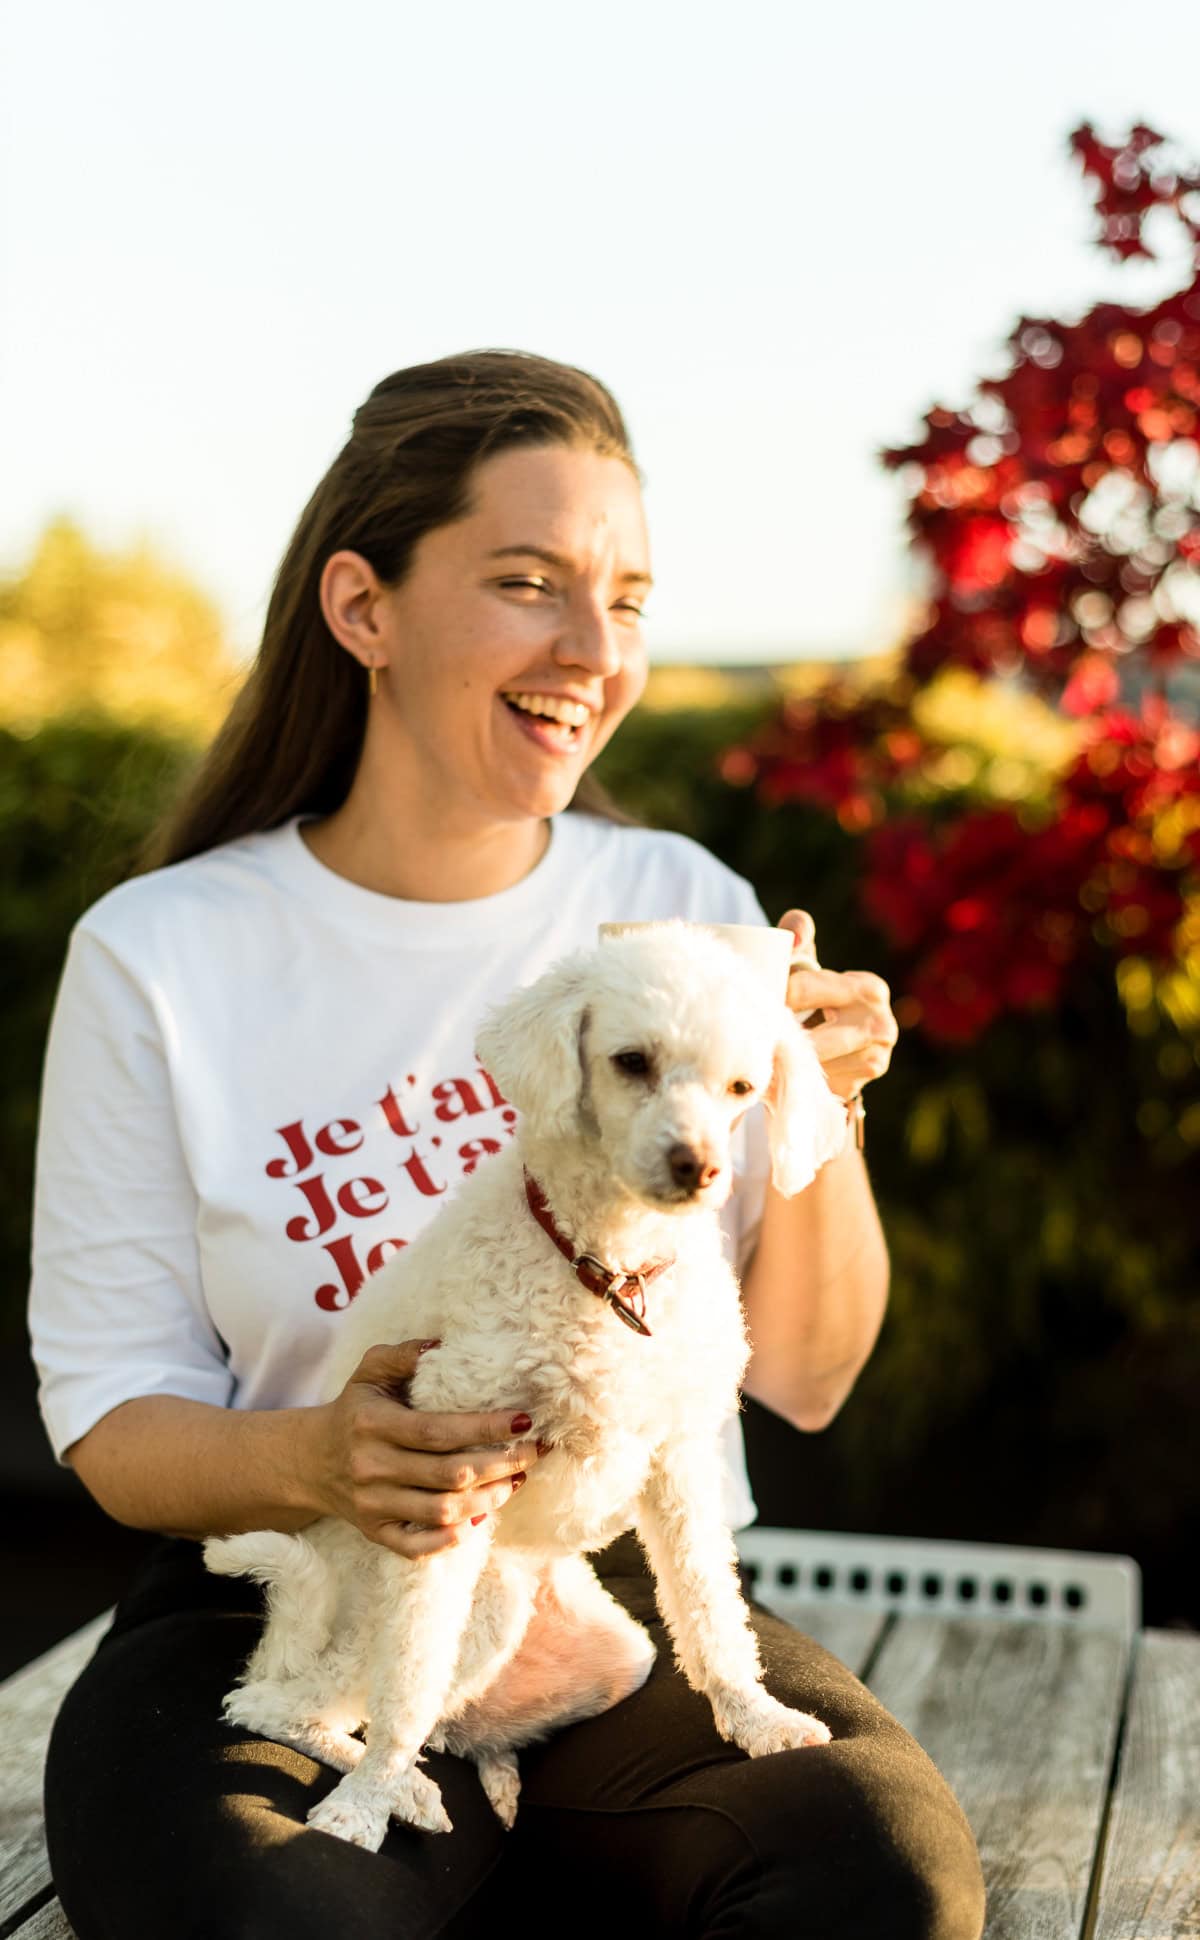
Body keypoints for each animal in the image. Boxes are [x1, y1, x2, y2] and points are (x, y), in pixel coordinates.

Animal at [204, 923, 845, 1846]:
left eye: (741, 1088)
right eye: (631, 1061)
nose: (698, 1168)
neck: (609, 1273)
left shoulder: (681, 1463)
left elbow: (711, 1612)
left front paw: (755, 1719)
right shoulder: (448, 1479)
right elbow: (406, 1682)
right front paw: (360, 1811)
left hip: (605, 1646)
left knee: (446, 1721)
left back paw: (474, 1777)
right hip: (442, 1600)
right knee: (285, 1703)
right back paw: (391, 1789)